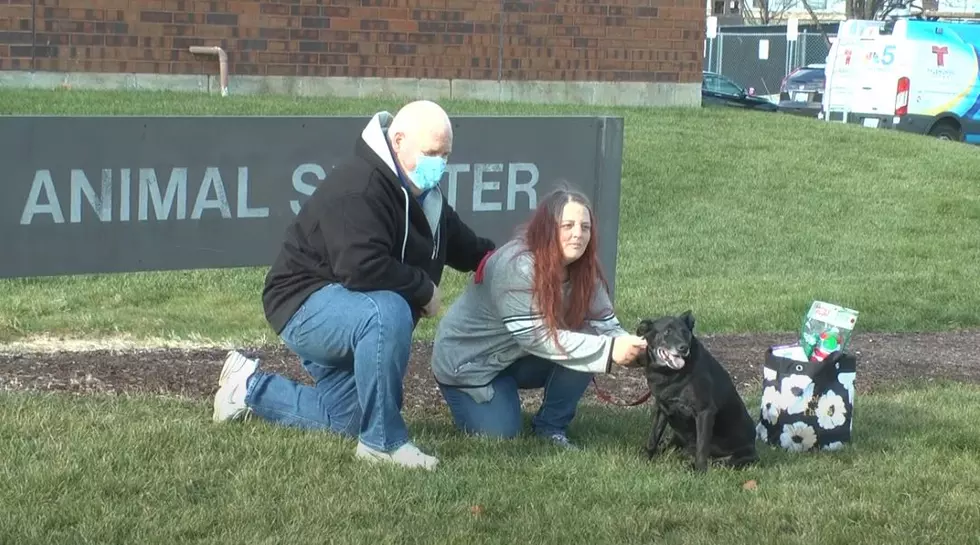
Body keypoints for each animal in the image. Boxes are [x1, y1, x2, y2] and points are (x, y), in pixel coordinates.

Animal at [632, 310, 760, 472]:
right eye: (667, 332)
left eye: (685, 332)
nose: (683, 348)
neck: (669, 374)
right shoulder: (661, 408)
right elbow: (652, 438)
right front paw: (645, 460)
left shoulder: (704, 411)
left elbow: (702, 447)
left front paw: (700, 472)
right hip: (677, 437)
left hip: (740, 457)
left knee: (721, 461)